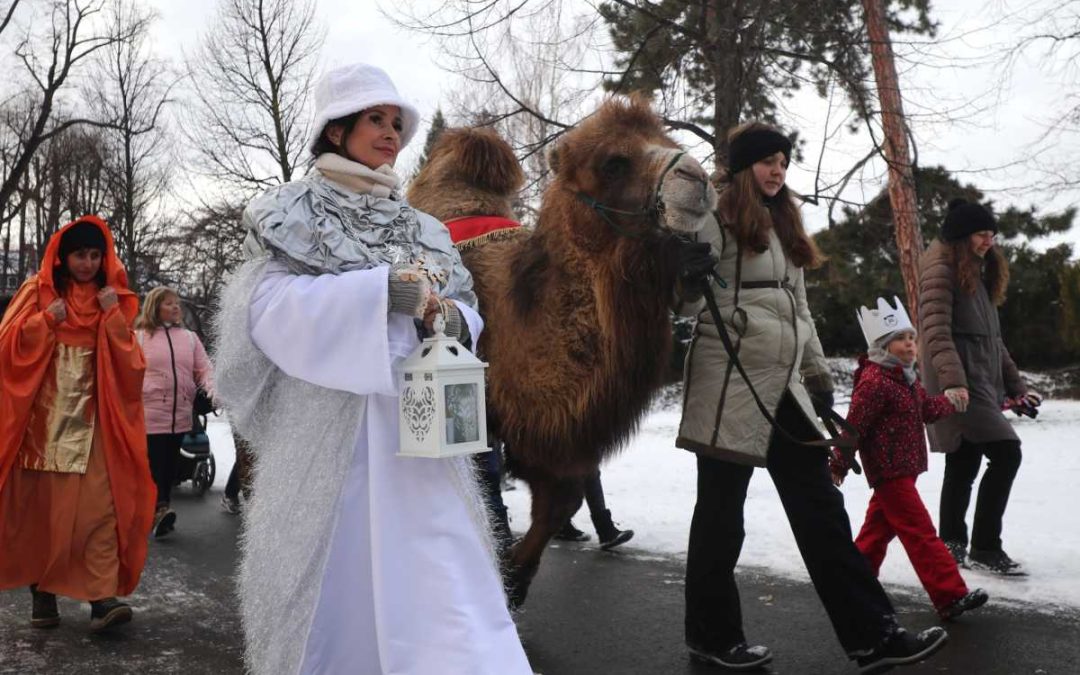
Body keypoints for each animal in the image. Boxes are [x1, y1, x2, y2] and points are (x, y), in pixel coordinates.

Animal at [406, 96, 717, 604]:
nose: (697, 178)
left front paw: (514, 580)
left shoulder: (548, 429)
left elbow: (561, 497)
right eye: (613, 162)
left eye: (667, 141)